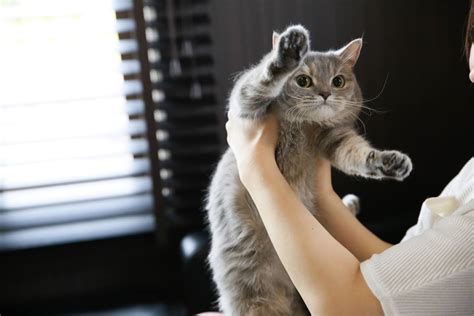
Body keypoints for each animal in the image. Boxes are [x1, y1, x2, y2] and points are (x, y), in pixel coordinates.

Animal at [206, 25, 412, 316]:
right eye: (303, 80)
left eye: (338, 81)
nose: (325, 94)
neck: (305, 127)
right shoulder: (247, 106)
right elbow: (260, 80)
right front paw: (288, 51)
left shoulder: (336, 139)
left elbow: (360, 155)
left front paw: (391, 163)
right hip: (257, 300)